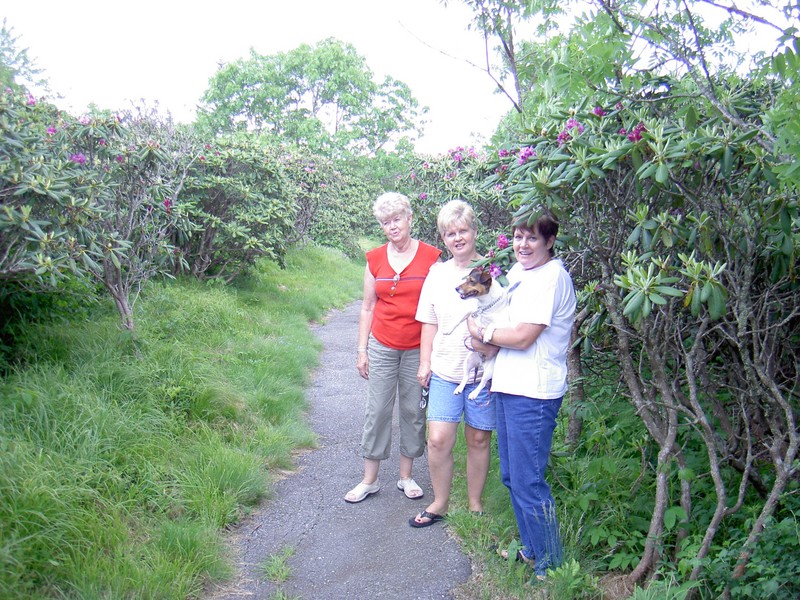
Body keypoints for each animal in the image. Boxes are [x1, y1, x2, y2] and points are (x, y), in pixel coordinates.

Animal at [446, 268, 516, 400]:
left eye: (472, 281)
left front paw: (487, 335)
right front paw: (448, 329)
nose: (456, 288)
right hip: (468, 361)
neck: (485, 306)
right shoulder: (470, 312)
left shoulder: (506, 325)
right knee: (466, 376)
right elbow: (458, 318)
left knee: (482, 383)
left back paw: (474, 394)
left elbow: (492, 325)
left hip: (490, 370)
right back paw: (459, 388)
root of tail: (481, 363)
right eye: (466, 279)